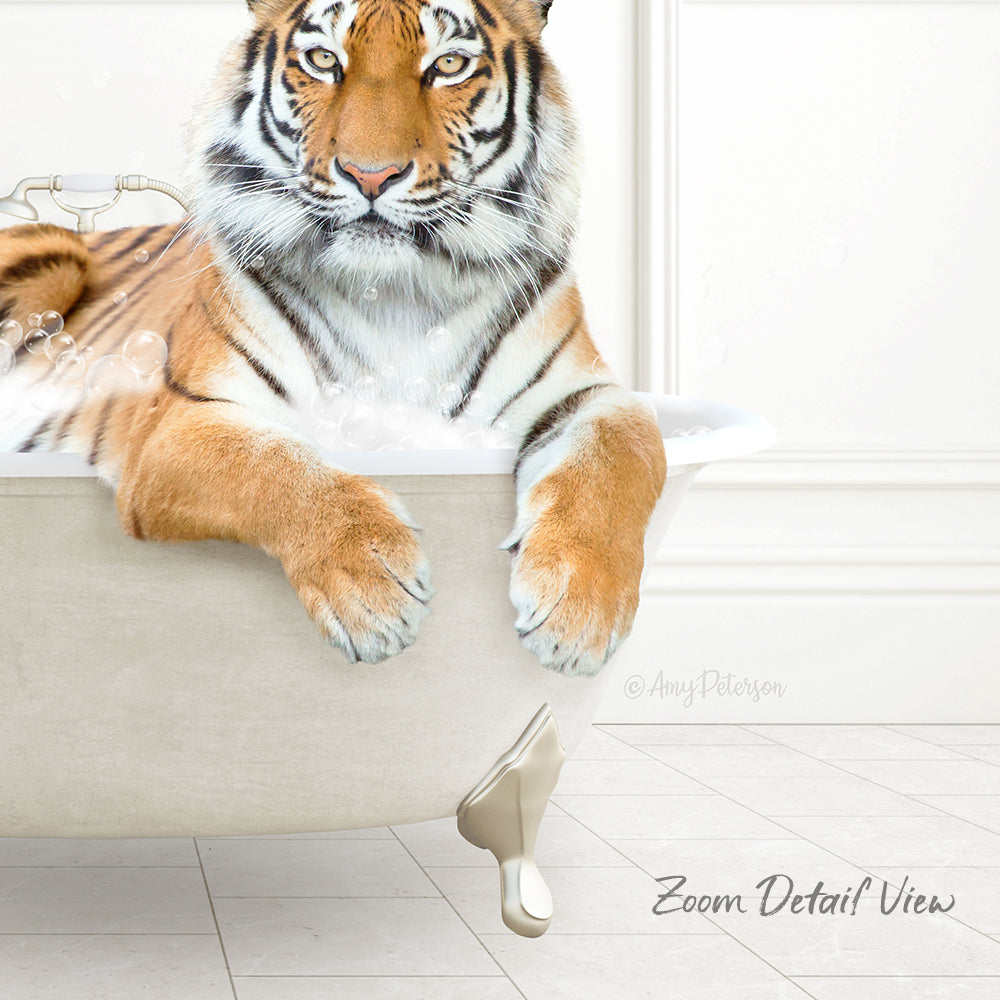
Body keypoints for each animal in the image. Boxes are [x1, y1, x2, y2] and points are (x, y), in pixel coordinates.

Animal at [0, 0, 666, 677]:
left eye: (448, 64)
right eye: (324, 60)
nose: (371, 176)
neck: (395, 295)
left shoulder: (586, 394)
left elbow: (624, 452)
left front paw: (578, 611)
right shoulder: (180, 423)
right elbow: (275, 466)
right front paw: (373, 591)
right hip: (56, 255)